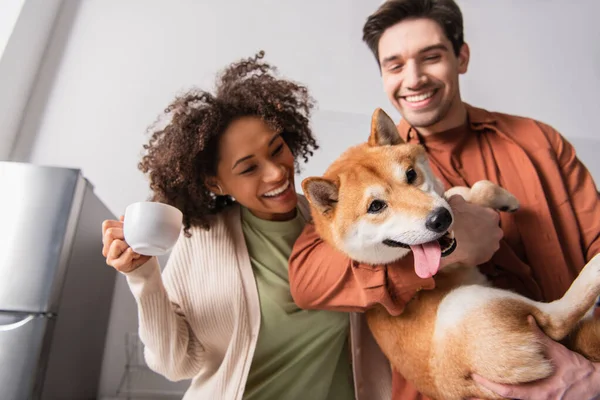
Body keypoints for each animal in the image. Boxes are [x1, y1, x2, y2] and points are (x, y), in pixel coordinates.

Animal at [304, 108, 600, 400]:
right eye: (375, 206)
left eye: (410, 175)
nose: (440, 219)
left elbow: (469, 189)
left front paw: (500, 198)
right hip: (464, 303)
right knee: (557, 320)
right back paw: (593, 271)